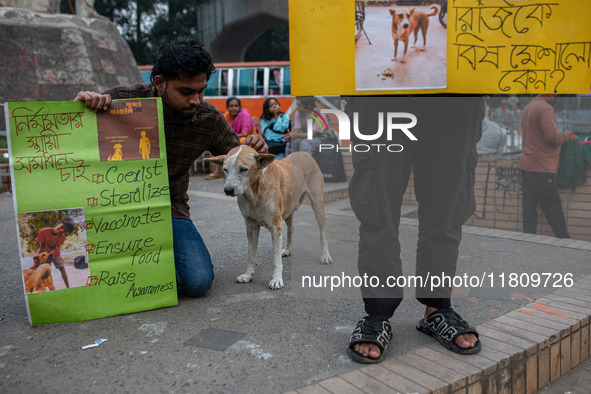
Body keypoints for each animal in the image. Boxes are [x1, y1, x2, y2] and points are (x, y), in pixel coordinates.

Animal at [206, 146, 330, 288]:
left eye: (243, 169)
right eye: (225, 170)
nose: (228, 190)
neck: (254, 194)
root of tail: (304, 153)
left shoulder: (276, 228)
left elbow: (276, 260)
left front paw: (276, 279)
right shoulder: (251, 227)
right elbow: (251, 255)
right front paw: (248, 275)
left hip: (317, 204)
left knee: (323, 232)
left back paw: (325, 255)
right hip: (288, 208)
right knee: (291, 229)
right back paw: (287, 249)